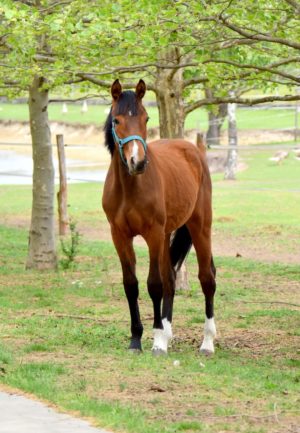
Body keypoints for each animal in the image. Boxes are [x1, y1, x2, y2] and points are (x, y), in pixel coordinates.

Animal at [102, 78, 217, 354]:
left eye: (146, 118)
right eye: (116, 121)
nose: (138, 162)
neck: (130, 188)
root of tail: (193, 150)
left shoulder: (152, 234)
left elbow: (154, 284)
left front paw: (155, 339)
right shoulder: (120, 236)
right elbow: (131, 284)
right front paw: (136, 339)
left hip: (199, 226)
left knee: (207, 278)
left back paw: (207, 342)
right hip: (167, 235)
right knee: (171, 279)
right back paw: (168, 334)